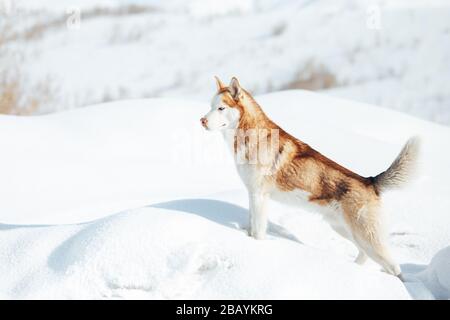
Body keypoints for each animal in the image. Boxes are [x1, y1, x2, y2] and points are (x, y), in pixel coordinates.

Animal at [200, 76, 418, 276]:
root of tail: (370, 181)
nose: (202, 120)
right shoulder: (253, 195)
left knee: (394, 267)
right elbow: (251, 226)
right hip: (343, 230)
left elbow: (258, 233)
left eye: (221, 108)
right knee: (364, 255)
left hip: (366, 237)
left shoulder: (260, 196)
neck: (253, 137)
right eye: (211, 106)